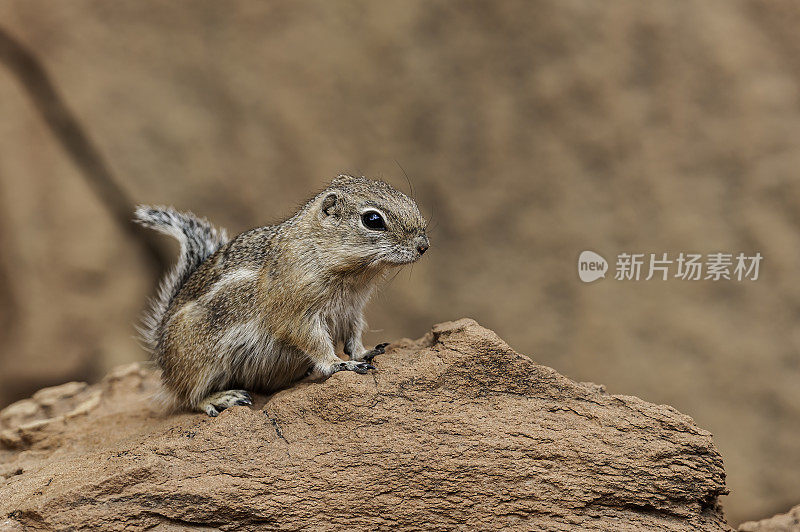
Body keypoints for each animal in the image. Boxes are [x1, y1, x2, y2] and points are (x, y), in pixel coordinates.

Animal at [134, 175, 428, 416]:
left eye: (408, 199)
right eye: (373, 220)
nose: (423, 246)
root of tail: (160, 349)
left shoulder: (353, 311)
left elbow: (354, 338)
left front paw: (365, 353)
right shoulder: (299, 316)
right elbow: (317, 344)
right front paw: (339, 365)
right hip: (201, 364)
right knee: (187, 397)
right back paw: (222, 398)